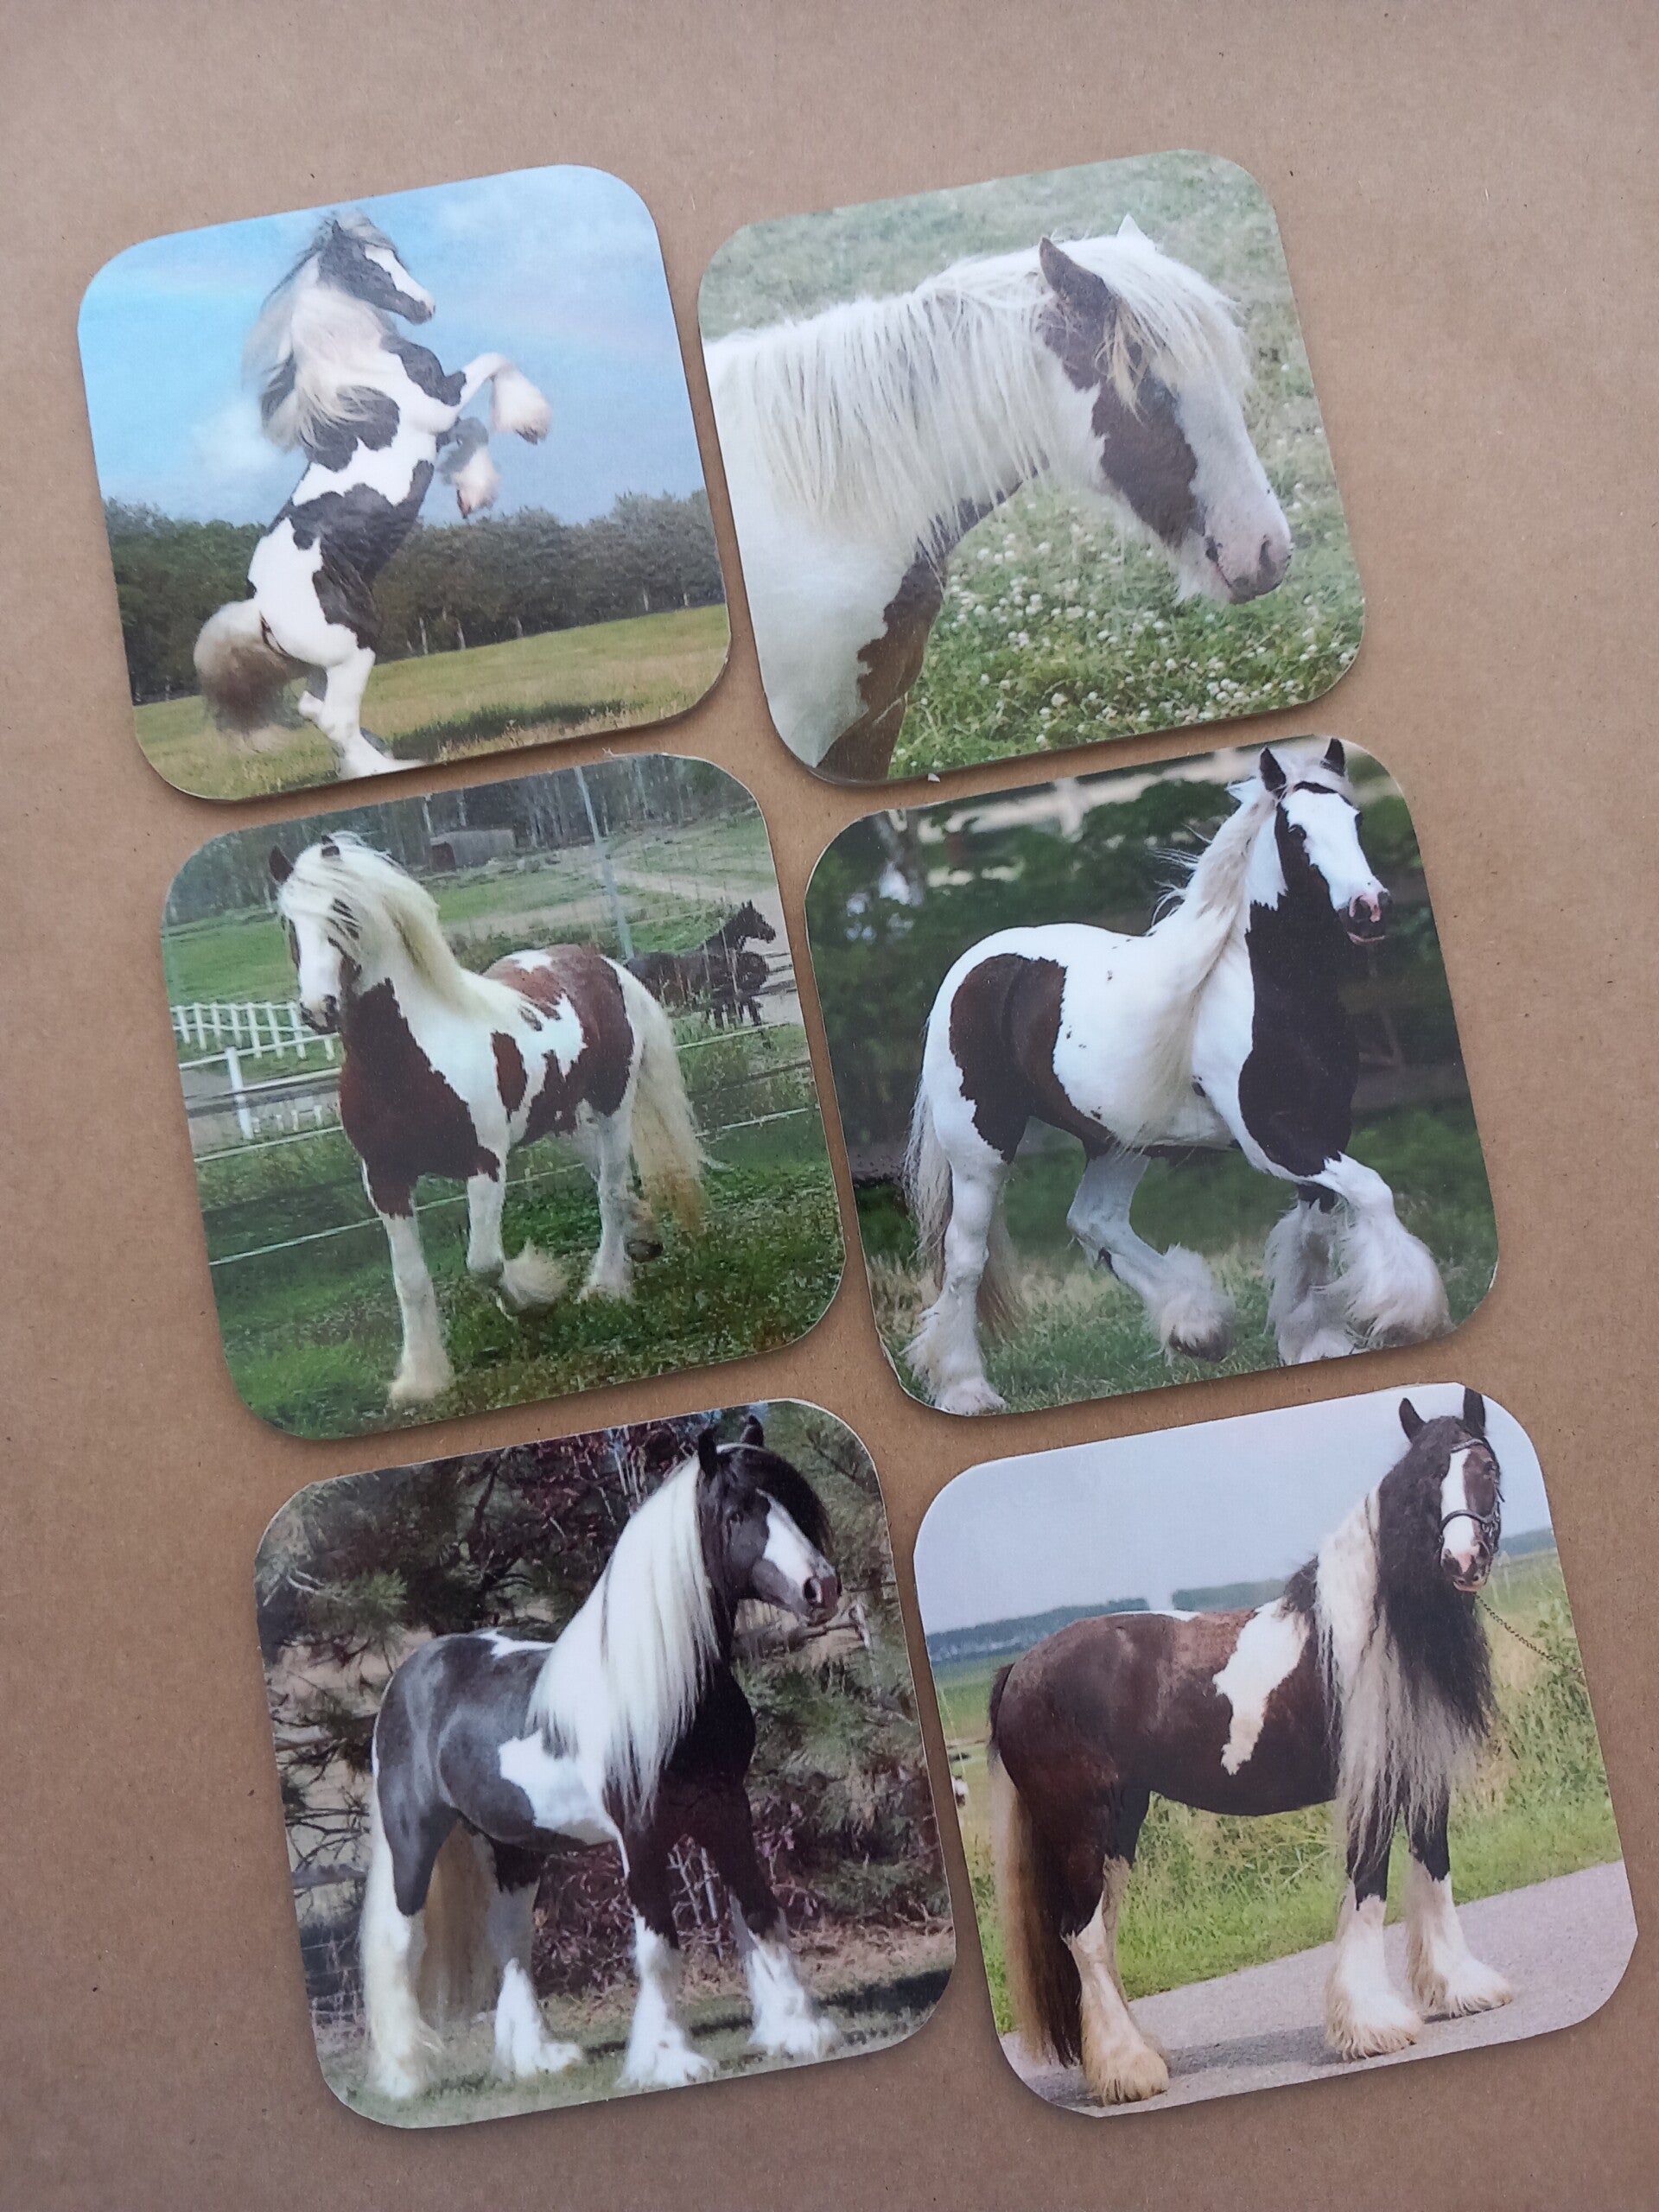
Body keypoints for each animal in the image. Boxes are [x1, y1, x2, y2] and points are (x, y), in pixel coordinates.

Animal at [195, 213, 552, 780]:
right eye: (367, 268)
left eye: (394, 257)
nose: (426, 306)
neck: (363, 369)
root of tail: (260, 612)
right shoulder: (440, 404)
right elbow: (496, 361)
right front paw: (530, 420)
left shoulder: (439, 425)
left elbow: (474, 428)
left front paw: (472, 491)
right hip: (355, 645)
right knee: (334, 717)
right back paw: (388, 767)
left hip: (327, 661)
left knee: (314, 708)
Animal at [268, 833, 703, 1410]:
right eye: (287, 922)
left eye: (343, 911)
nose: (319, 1009)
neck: (410, 1059)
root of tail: (602, 965)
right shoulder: (384, 1178)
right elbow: (410, 1280)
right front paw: (421, 1379)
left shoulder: (485, 1164)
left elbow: (485, 1263)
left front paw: (534, 1299)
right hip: (562, 1121)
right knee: (609, 1179)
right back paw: (643, 1239)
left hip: (612, 1103)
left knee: (609, 1188)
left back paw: (606, 1285)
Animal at [359, 1419, 846, 2098]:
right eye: (737, 1513)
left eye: (795, 1506)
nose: (820, 1588)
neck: (667, 1690)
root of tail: (411, 1673)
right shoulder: (640, 1835)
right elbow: (659, 1945)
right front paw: (671, 2059)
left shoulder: (727, 1812)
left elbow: (761, 1911)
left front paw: (799, 2031)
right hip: (414, 1840)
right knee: (401, 1942)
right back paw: (407, 2077)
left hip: (515, 1846)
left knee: (511, 1941)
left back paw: (537, 2058)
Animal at [903, 739, 1450, 1414]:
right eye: (1296, 832)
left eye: (1356, 819)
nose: (1369, 909)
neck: (1269, 993)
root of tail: (972, 967)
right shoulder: (1275, 1141)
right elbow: (1373, 1192)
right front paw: (1406, 1314)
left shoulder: (1324, 1131)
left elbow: (1316, 1232)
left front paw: (1315, 1340)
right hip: (981, 1150)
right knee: (965, 1259)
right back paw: (966, 1389)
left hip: (1118, 1142)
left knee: (1095, 1220)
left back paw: (1198, 1327)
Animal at [989, 1389, 1512, 2106]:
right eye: (1426, 1480)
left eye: (1484, 1467)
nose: (1461, 1562)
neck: (1373, 1635)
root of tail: (1021, 1667)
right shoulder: (1372, 1789)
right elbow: (1369, 1889)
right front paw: (1372, 2024)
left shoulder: (1420, 1777)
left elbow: (1434, 1871)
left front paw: (1460, 1988)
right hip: (1081, 1826)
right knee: (1085, 1936)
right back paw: (1129, 2069)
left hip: (1119, 1823)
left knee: (1103, 1932)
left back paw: (1137, 2052)